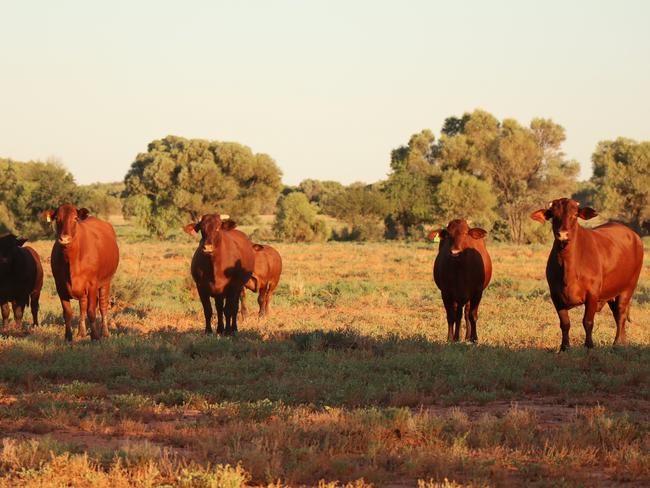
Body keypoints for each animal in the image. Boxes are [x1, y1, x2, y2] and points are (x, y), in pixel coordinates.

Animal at [42, 204, 119, 342]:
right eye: (57, 218)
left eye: (75, 218)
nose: (64, 238)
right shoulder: (60, 286)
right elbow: (68, 313)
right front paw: (68, 337)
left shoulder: (92, 284)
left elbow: (92, 311)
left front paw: (95, 337)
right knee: (82, 306)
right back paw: (81, 332)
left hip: (106, 281)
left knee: (103, 306)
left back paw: (105, 332)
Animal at [528, 196, 640, 348]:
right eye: (553, 215)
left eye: (575, 215)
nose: (563, 234)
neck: (568, 267)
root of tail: (633, 235)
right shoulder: (556, 296)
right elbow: (565, 324)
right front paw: (564, 347)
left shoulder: (592, 295)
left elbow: (587, 322)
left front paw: (589, 346)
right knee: (617, 315)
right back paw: (622, 343)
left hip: (628, 289)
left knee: (620, 315)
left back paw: (617, 343)